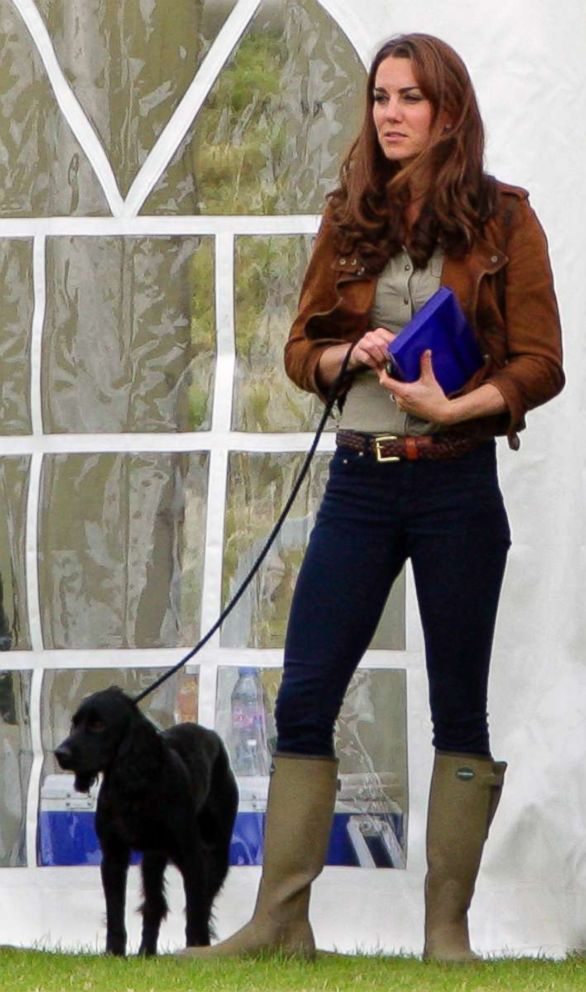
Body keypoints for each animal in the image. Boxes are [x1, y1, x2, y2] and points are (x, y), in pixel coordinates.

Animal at [54, 684, 237, 956]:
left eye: (98, 724)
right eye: (74, 724)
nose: (60, 753)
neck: (133, 787)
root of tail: (210, 734)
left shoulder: (191, 857)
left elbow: (196, 909)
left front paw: (196, 949)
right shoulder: (113, 856)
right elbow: (115, 912)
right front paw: (114, 953)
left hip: (216, 853)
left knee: (200, 903)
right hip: (153, 859)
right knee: (154, 905)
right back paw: (146, 953)